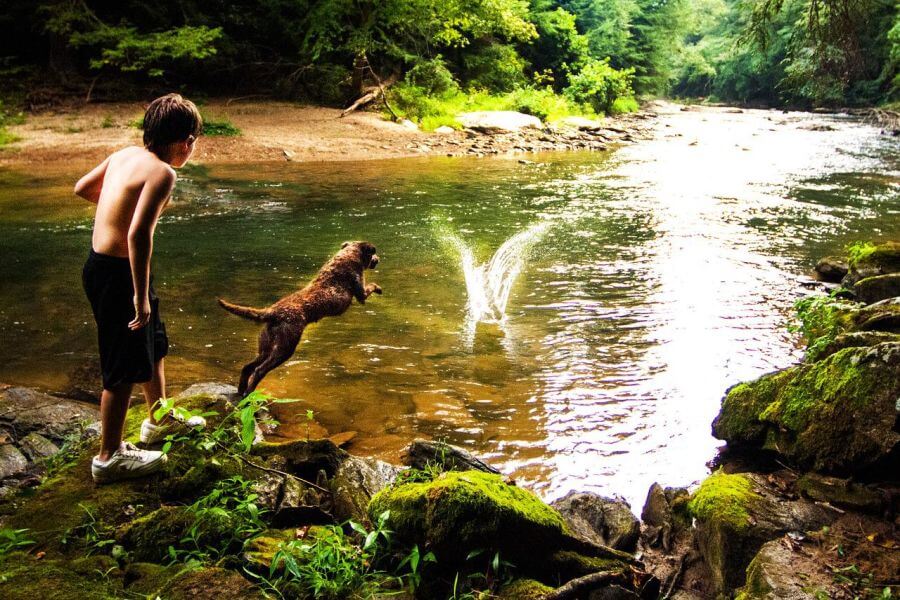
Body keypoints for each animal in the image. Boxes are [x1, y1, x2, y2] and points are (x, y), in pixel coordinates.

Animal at [222, 241, 386, 396]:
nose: (378, 259)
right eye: (373, 254)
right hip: (285, 347)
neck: (348, 255)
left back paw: (241, 391)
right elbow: (371, 286)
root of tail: (272, 311)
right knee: (259, 370)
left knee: (247, 367)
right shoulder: (361, 292)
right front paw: (379, 288)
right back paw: (249, 392)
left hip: (266, 346)